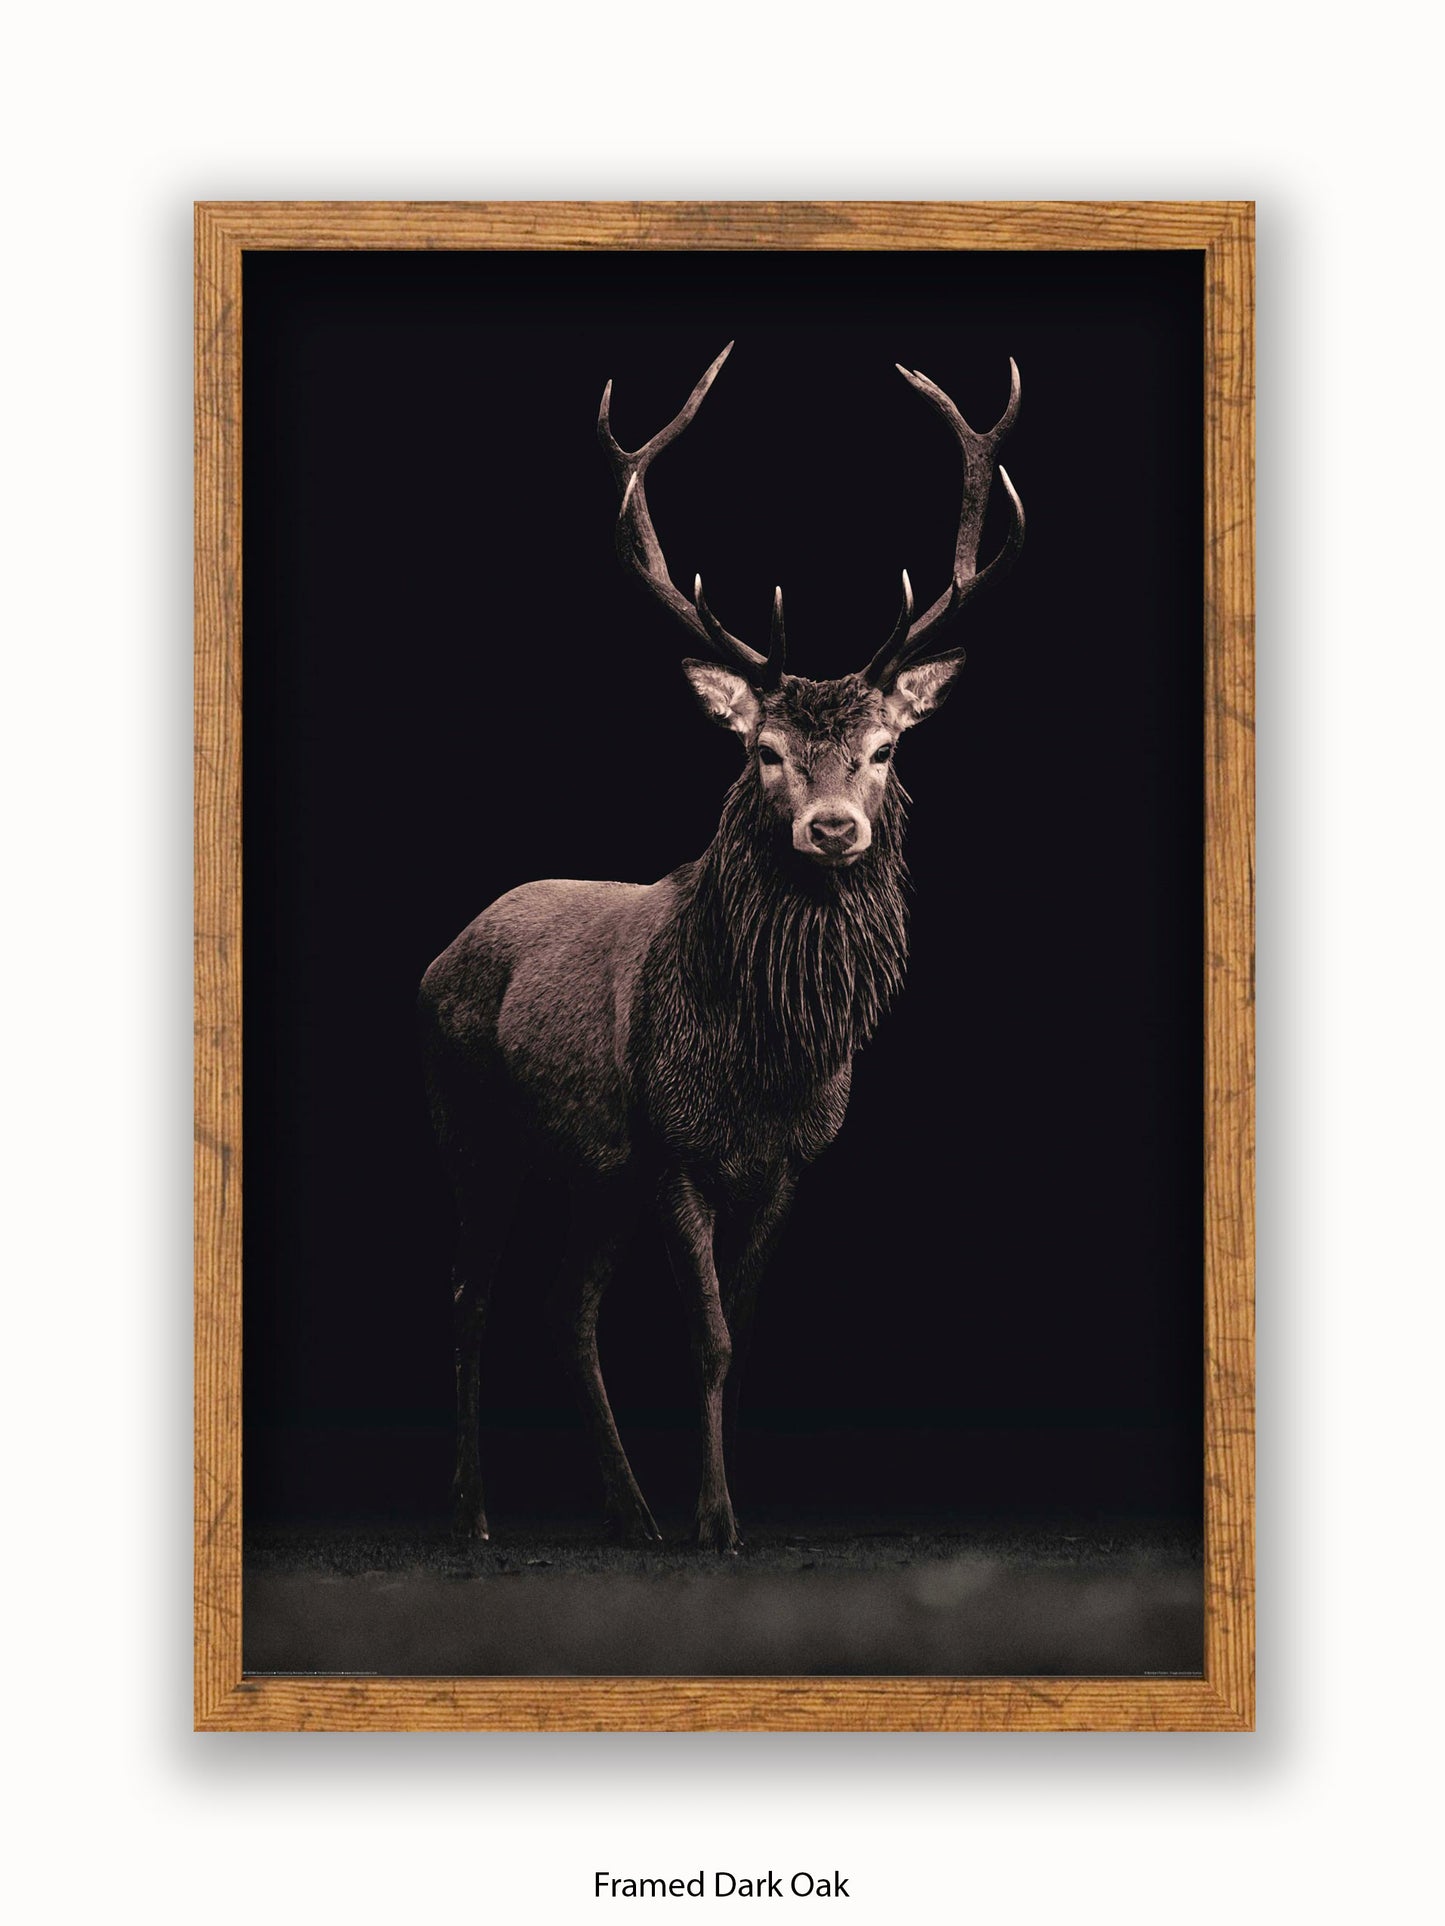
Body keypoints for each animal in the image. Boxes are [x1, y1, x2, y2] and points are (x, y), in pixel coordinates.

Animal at [419, 342, 1024, 1552]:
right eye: (764, 751)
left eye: (884, 749)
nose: (831, 829)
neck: (764, 1064)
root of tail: (438, 957)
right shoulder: (674, 1148)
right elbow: (703, 1334)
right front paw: (715, 1519)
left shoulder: (785, 1163)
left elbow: (738, 1342)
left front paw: (717, 1501)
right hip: (473, 1121)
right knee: (471, 1295)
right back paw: (475, 1512)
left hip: (591, 1165)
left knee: (565, 1304)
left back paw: (627, 1509)